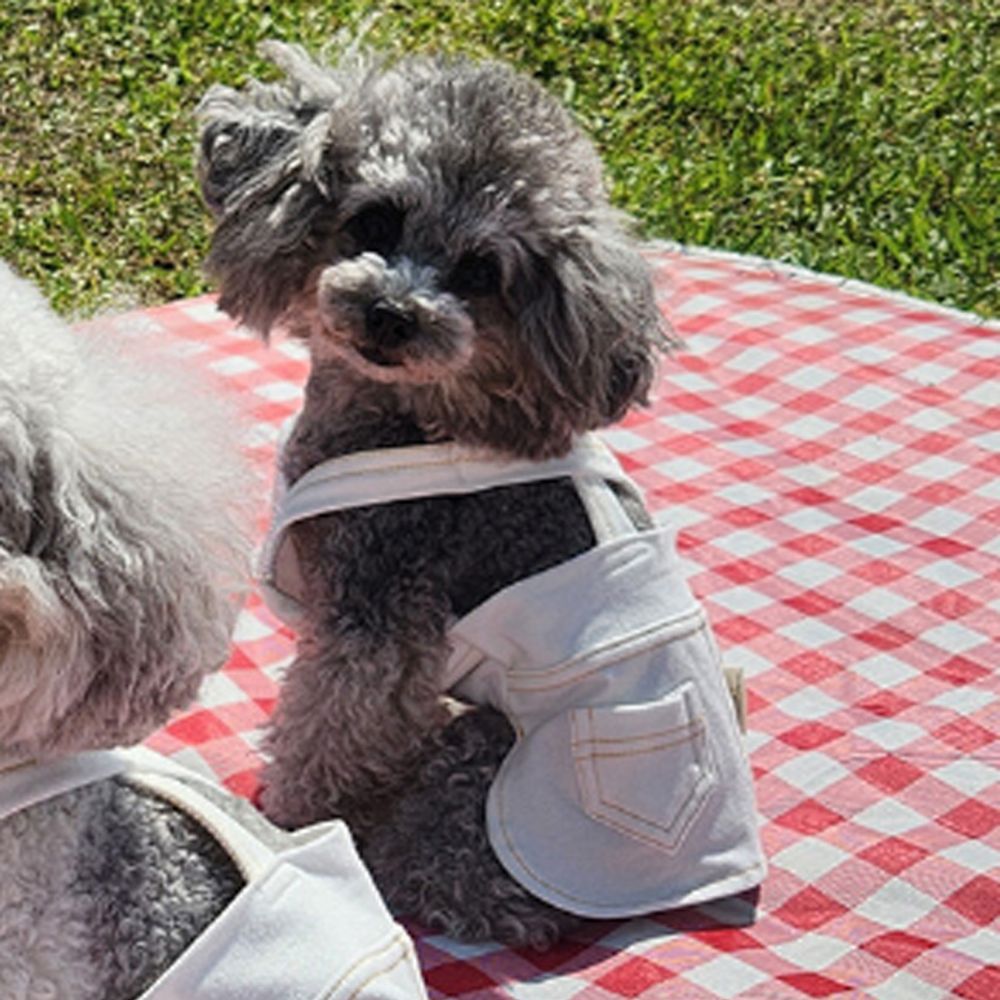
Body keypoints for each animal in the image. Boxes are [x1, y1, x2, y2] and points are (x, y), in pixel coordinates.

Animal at [199, 39, 768, 944]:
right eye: (375, 220)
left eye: (480, 271)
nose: (391, 314)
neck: (406, 417)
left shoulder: (380, 607)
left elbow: (332, 723)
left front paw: (290, 813)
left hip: (490, 797)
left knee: (428, 864)